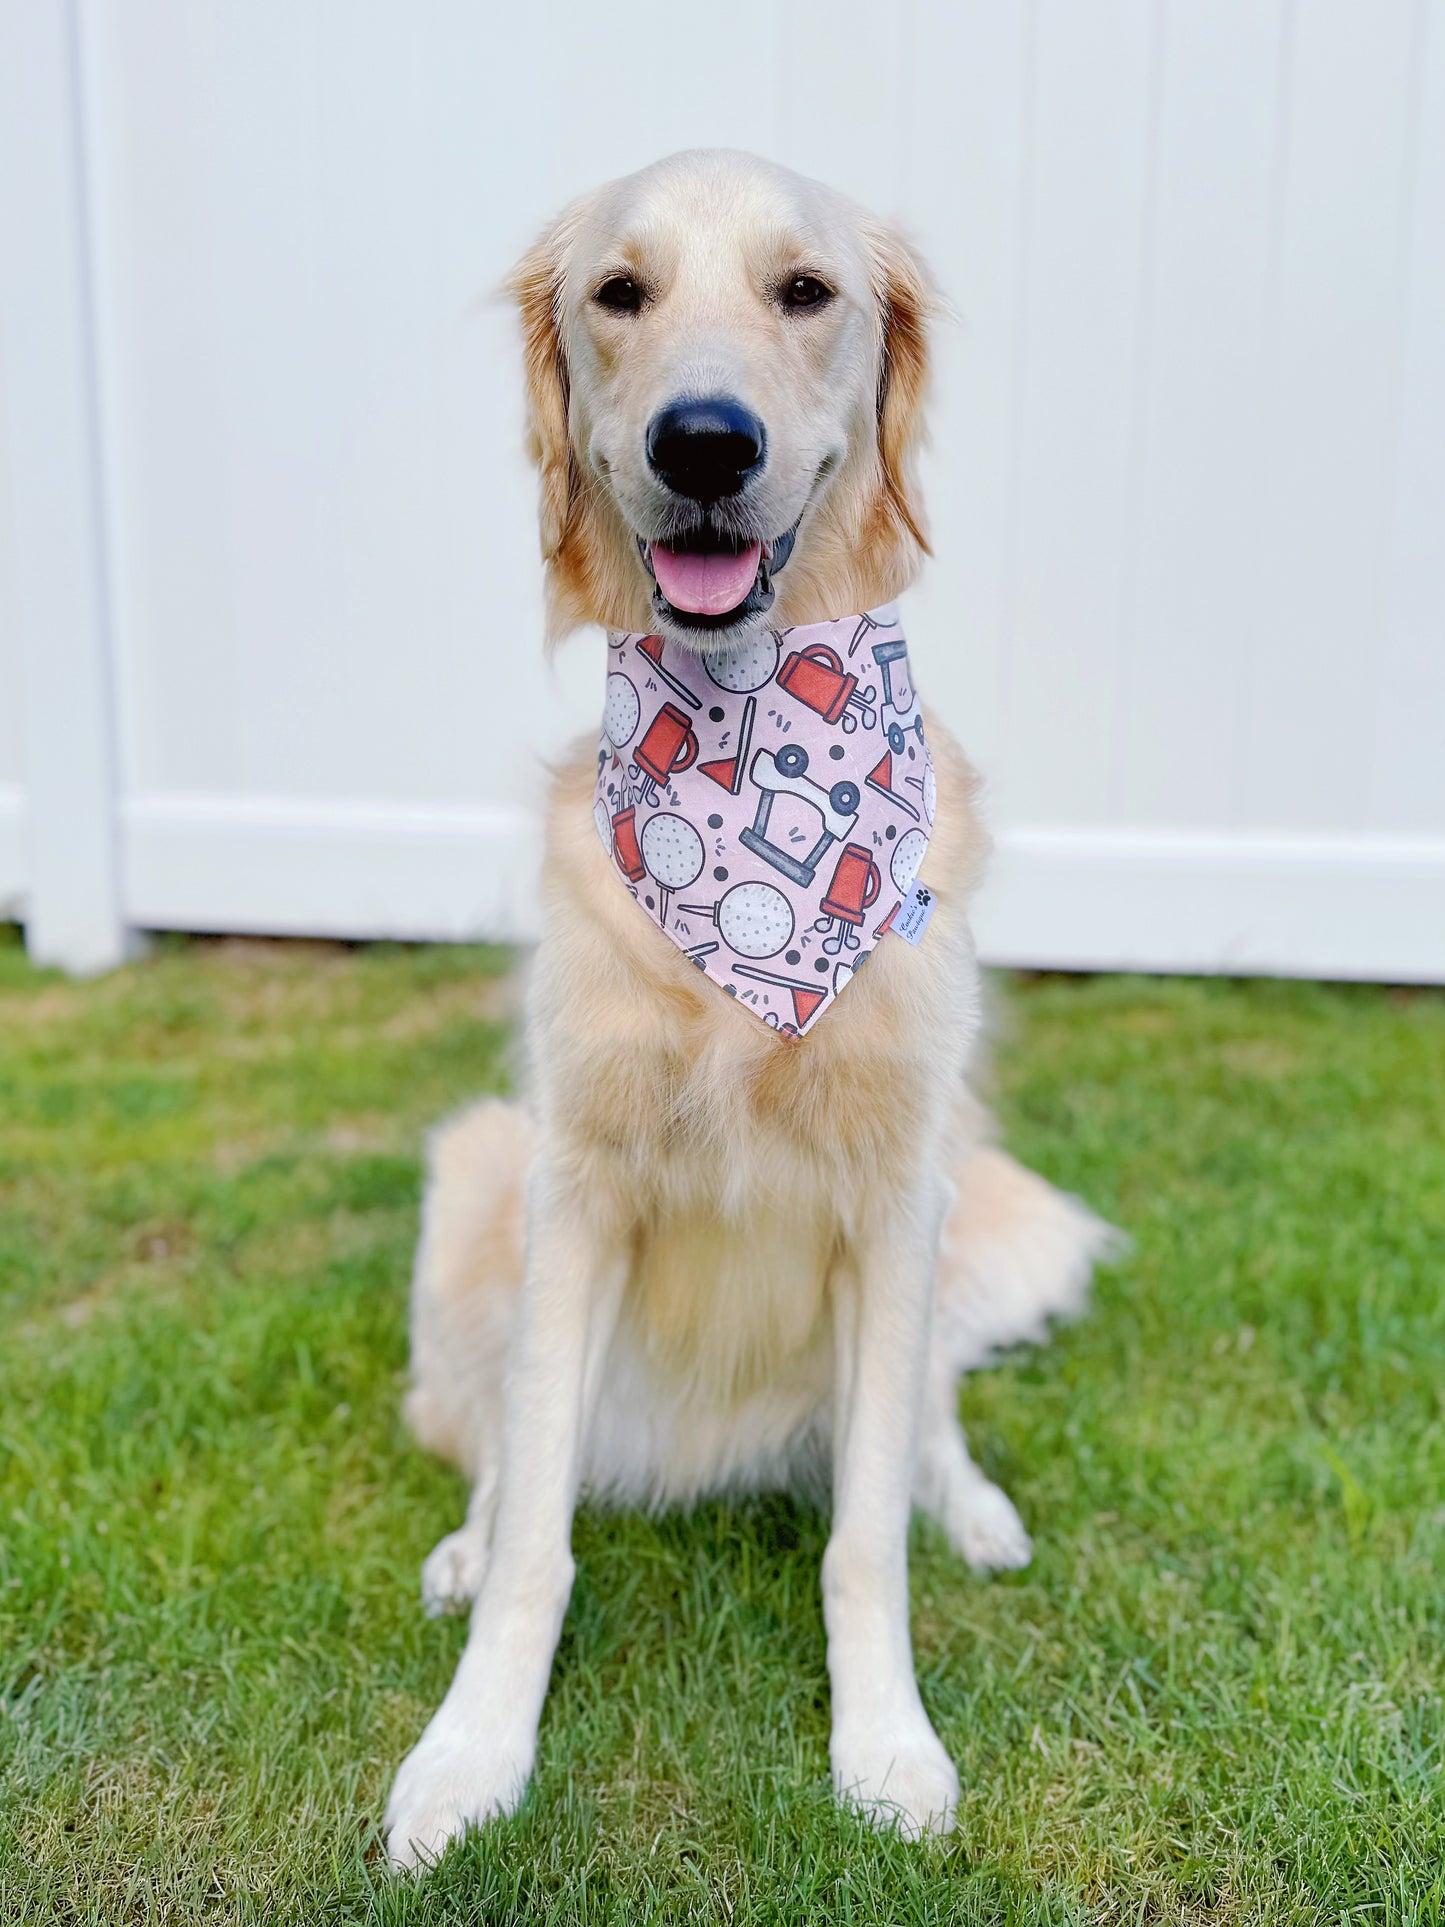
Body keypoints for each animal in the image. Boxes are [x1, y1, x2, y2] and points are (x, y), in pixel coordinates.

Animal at [381, 150, 1109, 1865]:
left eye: (805, 291)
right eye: (618, 293)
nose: (703, 440)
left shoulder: (898, 1186)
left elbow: (863, 1538)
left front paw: (886, 1744)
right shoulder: (575, 1182)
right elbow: (538, 1535)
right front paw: (469, 1753)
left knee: (924, 1419)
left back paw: (971, 1503)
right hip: (479, 1171)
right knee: (498, 1444)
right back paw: (465, 1535)